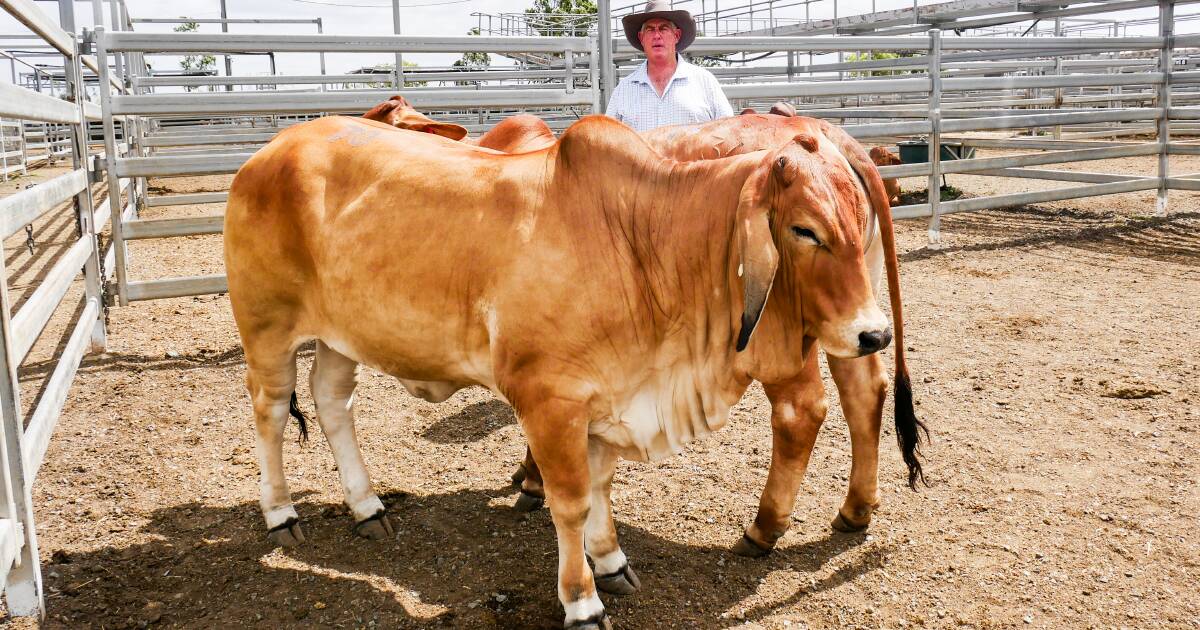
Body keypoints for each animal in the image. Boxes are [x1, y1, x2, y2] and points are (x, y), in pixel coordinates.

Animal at [226, 114, 916, 628]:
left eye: (860, 219)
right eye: (805, 229)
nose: (874, 332)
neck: (642, 243)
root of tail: (273, 149)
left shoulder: (609, 396)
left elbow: (601, 487)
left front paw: (611, 562)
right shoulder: (550, 400)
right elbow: (572, 501)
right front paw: (582, 600)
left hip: (341, 335)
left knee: (330, 400)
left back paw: (367, 506)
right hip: (267, 327)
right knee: (269, 411)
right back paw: (281, 515)